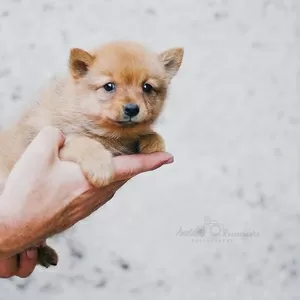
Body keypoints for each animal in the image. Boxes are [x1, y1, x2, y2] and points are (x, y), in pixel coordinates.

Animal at [0, 39, 183, 268]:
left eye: (147, 87)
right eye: (109, 86)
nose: (132, 109)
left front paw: (152, 140)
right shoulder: (62, 139)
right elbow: (85, 142)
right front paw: (101, 166)